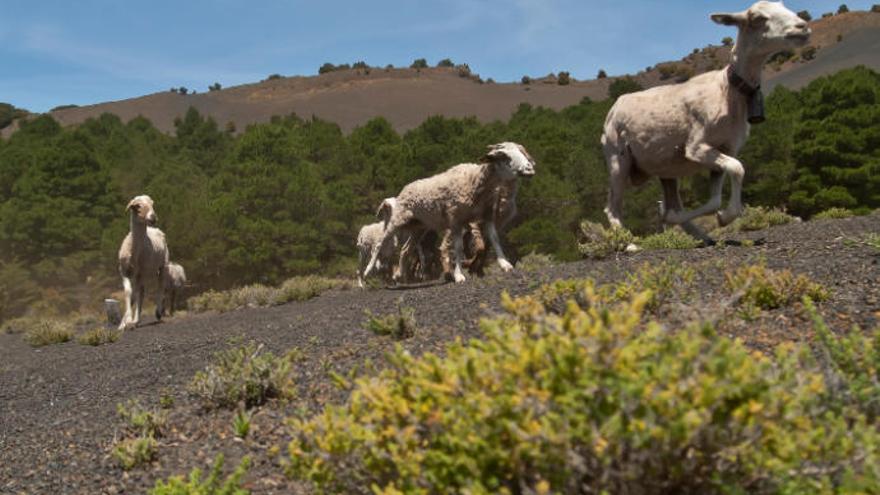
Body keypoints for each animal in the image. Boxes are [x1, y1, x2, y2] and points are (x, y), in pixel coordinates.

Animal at [117, 196, 169, 332]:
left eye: (152, 204)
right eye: (138, 206)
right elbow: (129, 293)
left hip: (162, 265)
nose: (153, 217)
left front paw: (129, 321)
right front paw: (124, 323)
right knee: (140, 292)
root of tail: (154, 229)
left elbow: (136, 295)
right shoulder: (124, 271)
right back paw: (133, 320)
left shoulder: (141, 273)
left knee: (160, 286)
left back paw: (157, 313)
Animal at [362, 141, 532, 284]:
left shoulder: (487, 216)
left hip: (419, 227)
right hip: (398, 219)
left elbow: (494, 239)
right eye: (505, 157)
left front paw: (505, 264)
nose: (529, 169)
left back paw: (400, 276)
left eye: (521, 151)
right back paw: (368, 271)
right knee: (379, 244)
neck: (475, 182)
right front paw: (459, 275)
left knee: (405, 250)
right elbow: (457, 248)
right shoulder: (455, 220)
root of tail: (405, 189)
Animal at [600, 1, 812, 242]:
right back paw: (629, 243)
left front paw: (722, 216)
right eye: (757, 18)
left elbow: (715, 198)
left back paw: (700, 235)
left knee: (674, 202)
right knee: (612, 207)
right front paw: (722, 217)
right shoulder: (697, 146)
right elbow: (738, 168)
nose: (802, 27)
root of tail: (615, 106)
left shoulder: (726, 147)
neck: (727, 90)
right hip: (617, 158)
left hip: (666, 167)